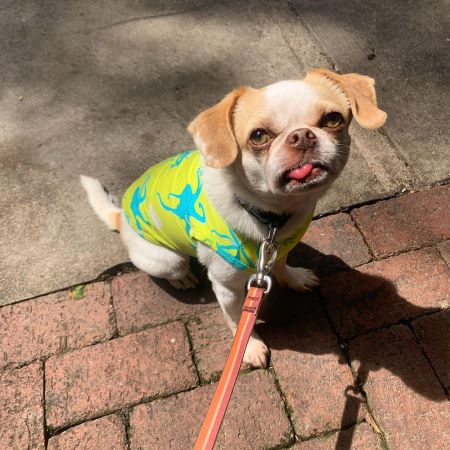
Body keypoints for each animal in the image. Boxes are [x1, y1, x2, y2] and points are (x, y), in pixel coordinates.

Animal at [81, 68, 386, 368]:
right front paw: (249, 348)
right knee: (173, 269)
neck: (271, 217)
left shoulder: (279, 249)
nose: (301, 135)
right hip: (168, 261)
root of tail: (121, 217)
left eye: (333, 119)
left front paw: (295, 278)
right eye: (259, 136)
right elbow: (237, 320)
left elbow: (282, 264)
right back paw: (183, 279)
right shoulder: (227, 288)